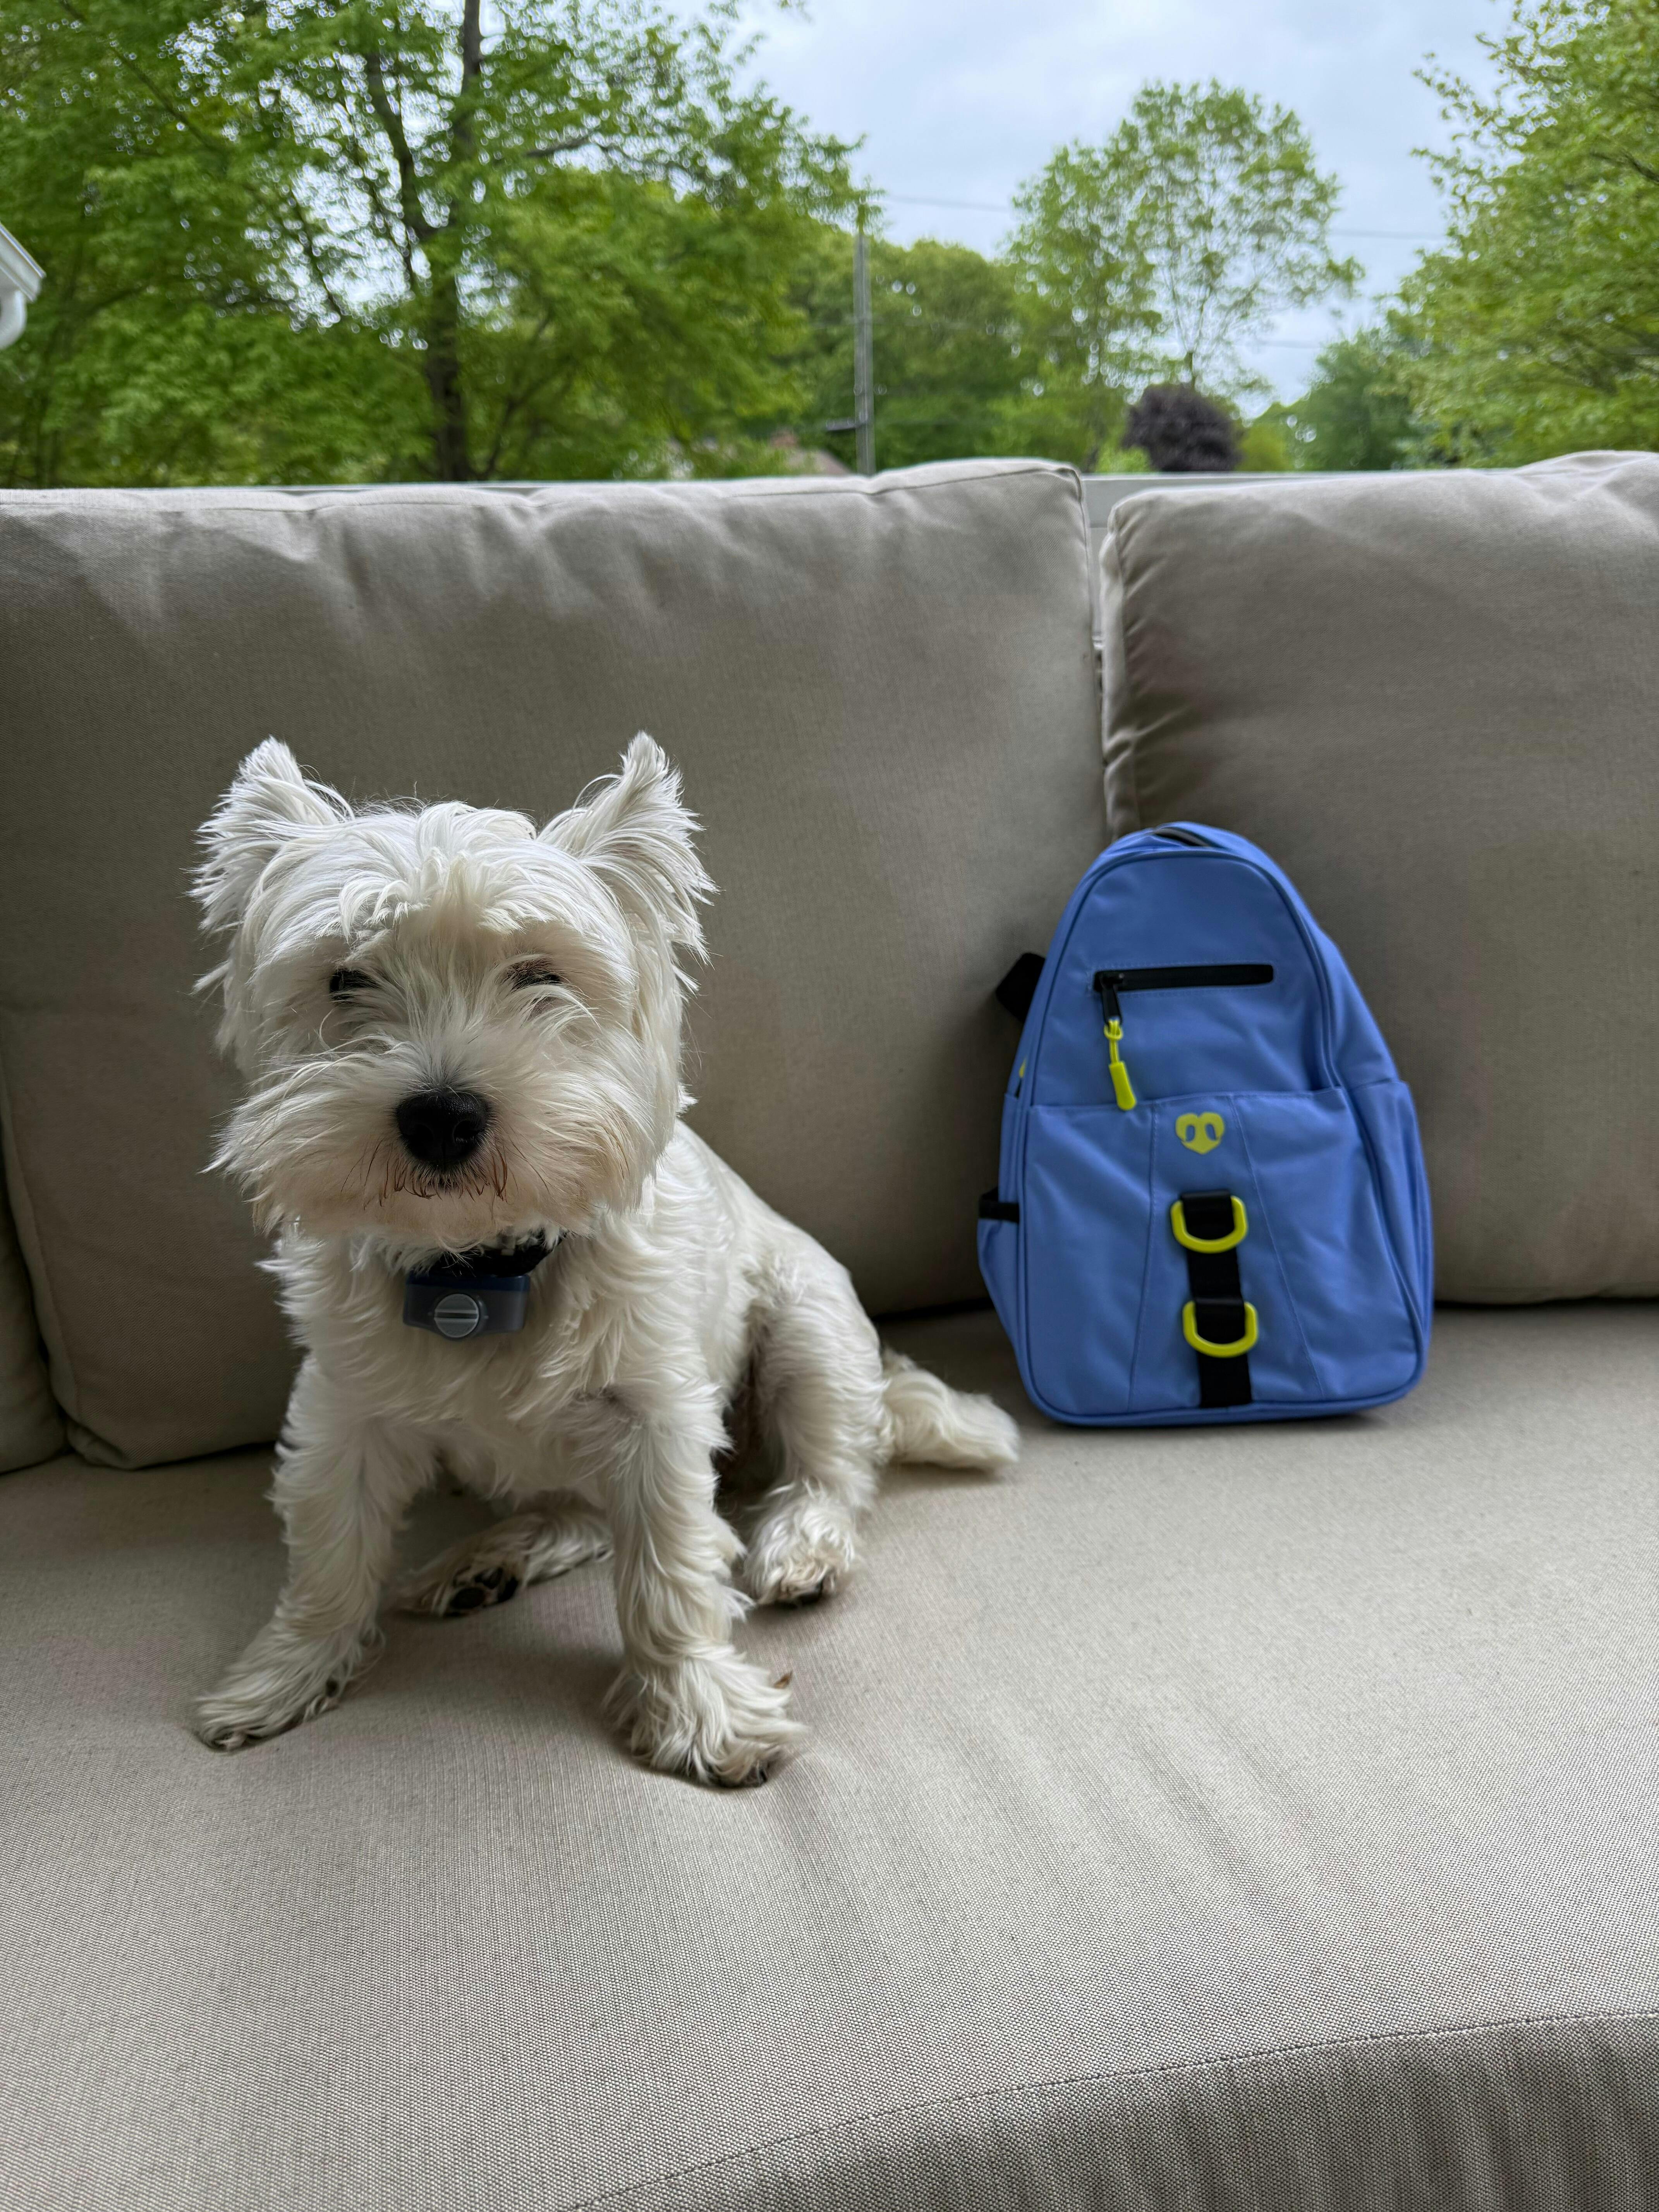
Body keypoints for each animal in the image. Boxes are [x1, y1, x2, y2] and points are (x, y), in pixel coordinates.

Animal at [190, 735, 1019, 1785]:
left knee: (834, 1466)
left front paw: (701, 1709)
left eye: (539, 975)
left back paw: (801, 1546)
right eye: (346, 979)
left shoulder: (655, 1412)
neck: (482, 1269)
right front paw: (280, 1676)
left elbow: (669, 1564)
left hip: (807, 1329)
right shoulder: (346, 1411)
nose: (442, 1117)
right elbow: (330, 1550)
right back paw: (487, 1561)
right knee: (581, 1512)